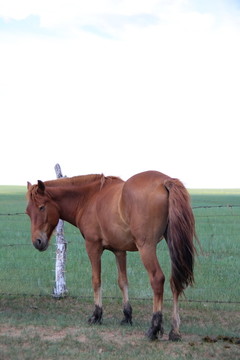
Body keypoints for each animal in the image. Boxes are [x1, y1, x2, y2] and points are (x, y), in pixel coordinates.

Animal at [25, 171, 197, 340]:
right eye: (28, 212)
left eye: (41, 207)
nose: (37, 242)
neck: (89, 198)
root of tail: (165, 181)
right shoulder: (119, 251)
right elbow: (123, 282)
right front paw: (127, 316)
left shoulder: (93, 247)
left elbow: (96, 281)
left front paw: (96, 315)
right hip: (173, 245)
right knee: (175, 282)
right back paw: (174, 331)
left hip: (146, 248)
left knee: (157, 279)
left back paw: (154, 328)